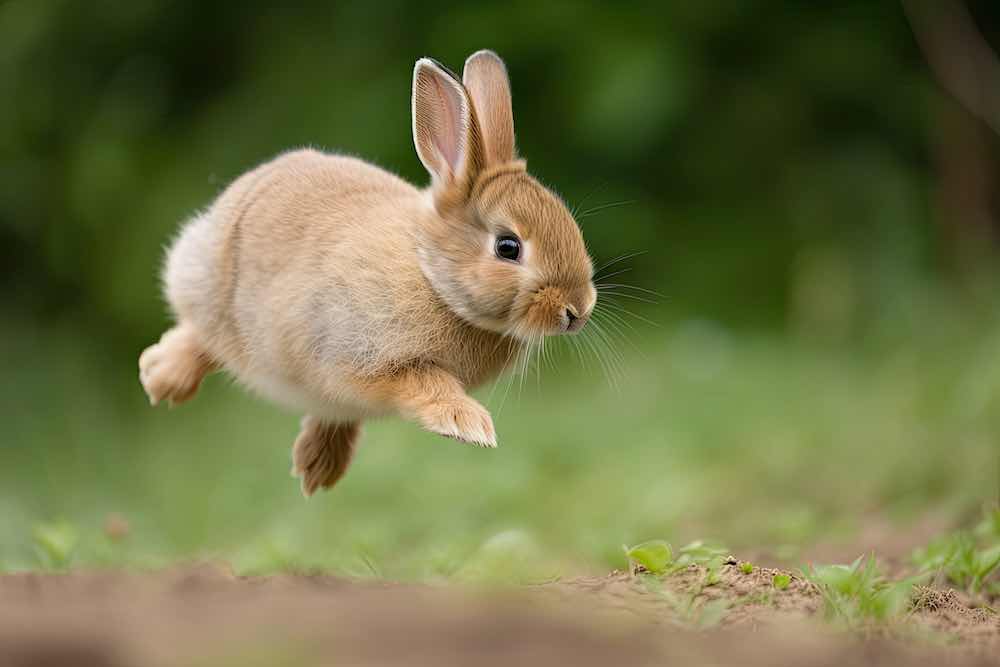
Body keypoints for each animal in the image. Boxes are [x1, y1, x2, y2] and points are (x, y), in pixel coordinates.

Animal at [138, 51, 596, 496]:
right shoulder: (360, 351)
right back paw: (160, 378)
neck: (431, 275)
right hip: (217, 289)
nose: (578, 310)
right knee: (202, 334)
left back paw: (319, 467)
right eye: (508, 247)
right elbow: (426, 381)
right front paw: (467, 425)